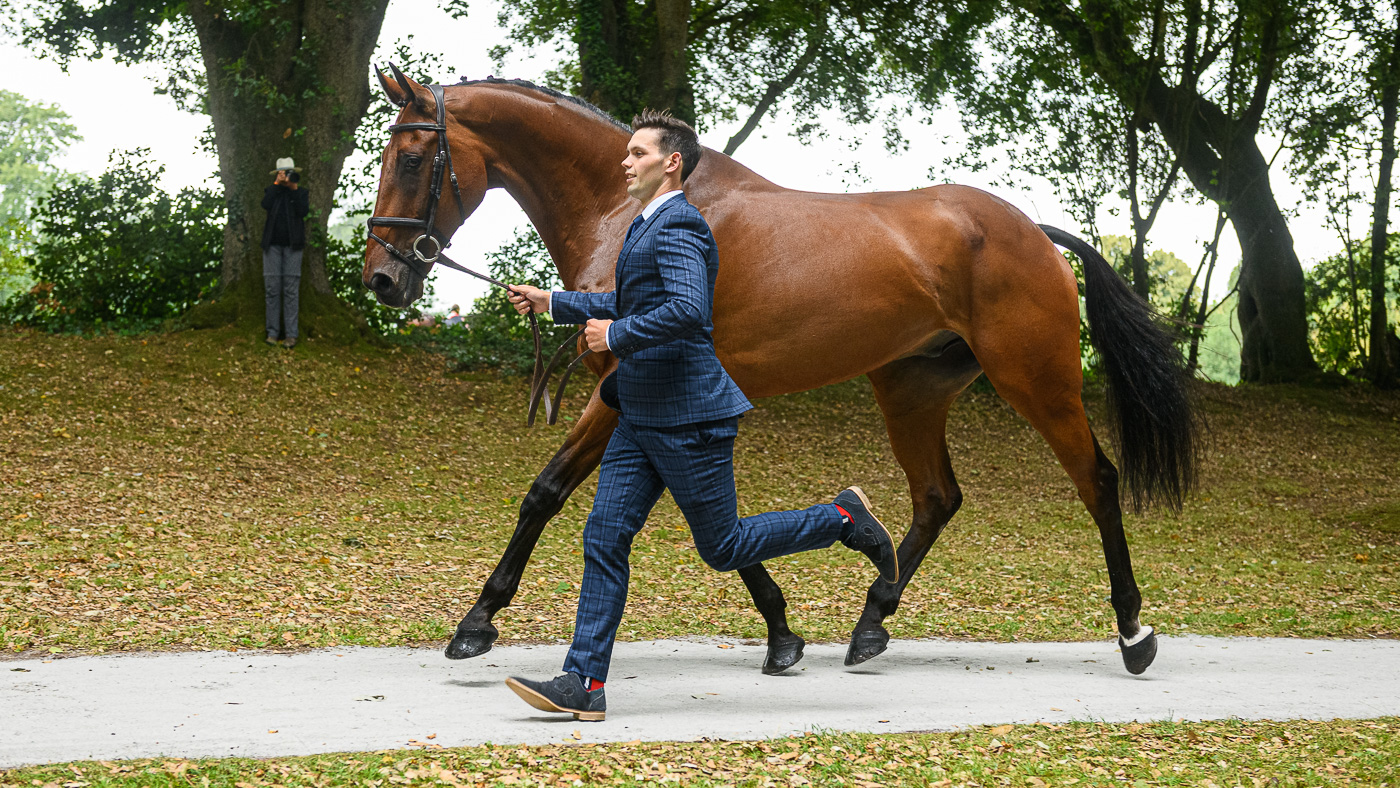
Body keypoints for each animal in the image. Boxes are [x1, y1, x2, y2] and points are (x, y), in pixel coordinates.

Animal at [361, 65, 1199, 677]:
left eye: (412, 157)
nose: (382, 279)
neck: (629, 214)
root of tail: (1034, 230)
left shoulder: (622, 393)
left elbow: (548, 494)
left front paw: (476, 624)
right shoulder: (659, 407)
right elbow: (706, 521)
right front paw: (782, 632)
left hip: (1037, 381)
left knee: (1097, 481)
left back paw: (1134, 634)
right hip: (910, 390)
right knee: (936, 498)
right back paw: (870, 625)